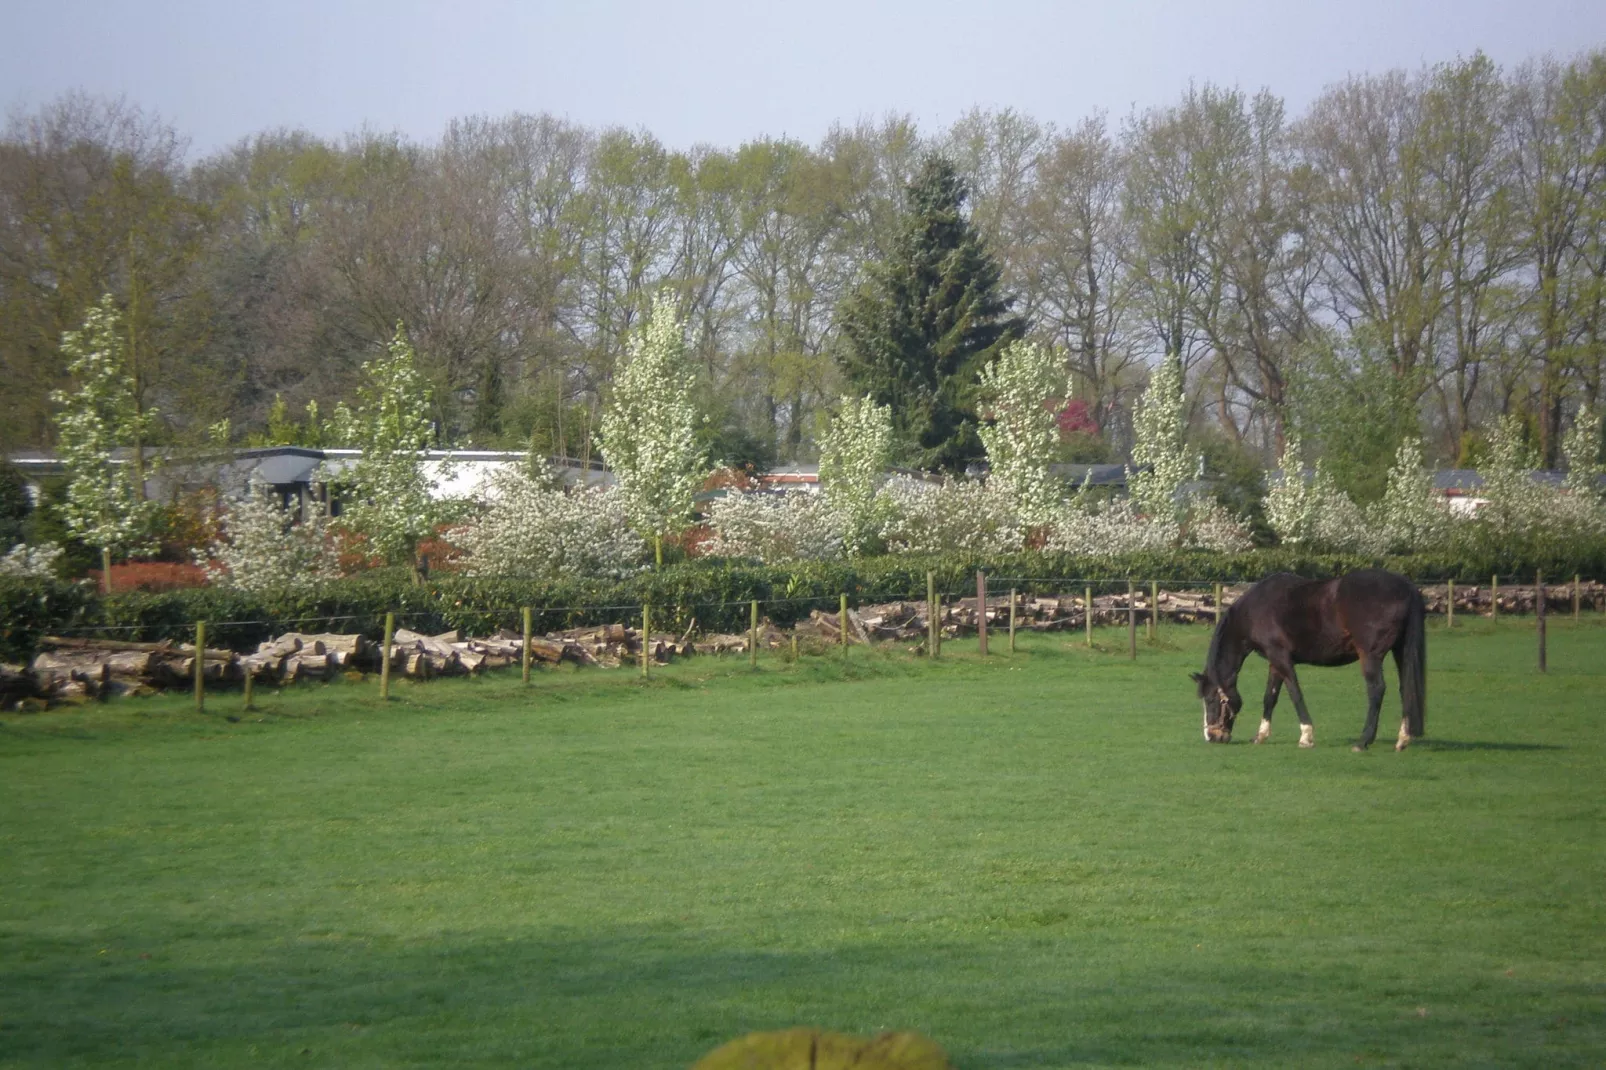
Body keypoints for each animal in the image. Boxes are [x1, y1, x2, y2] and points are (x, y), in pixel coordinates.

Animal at [1194, 565, 1432, 748]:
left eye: (1211, 699)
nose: (1211, 736)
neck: (1255, 610)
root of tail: (1407, 586)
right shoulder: (1274, 662)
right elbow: (1270, 697)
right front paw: (1260, 736)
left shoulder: (1281, 658)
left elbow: (1295, 694)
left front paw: (1306, 736)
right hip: (1400, 651)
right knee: (1406, 688)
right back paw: (1402, 739)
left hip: (1370, 656)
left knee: (1377, 690)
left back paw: (1363, 741)